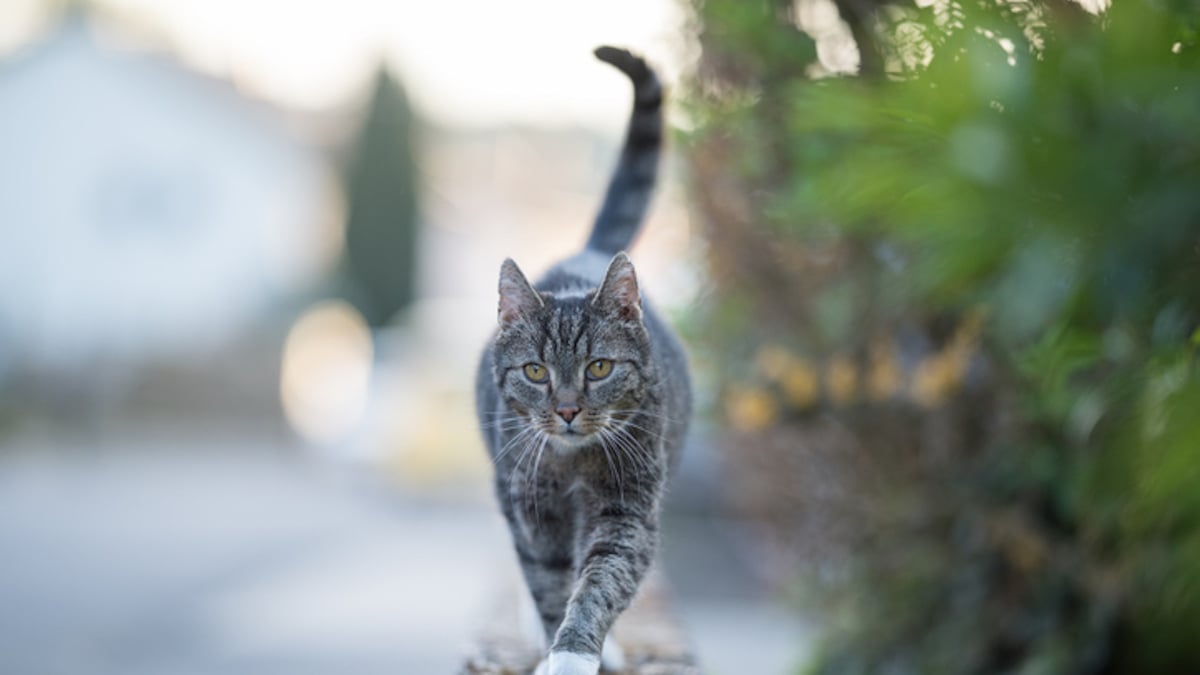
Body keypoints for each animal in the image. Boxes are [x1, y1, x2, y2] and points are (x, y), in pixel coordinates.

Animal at [470, 47, 691, 672]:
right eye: (535, 371)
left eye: (599, 368)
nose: (567, 411)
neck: (572, 466)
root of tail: (586, 254)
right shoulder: (531, 507)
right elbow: (548, 583)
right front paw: (554, 647)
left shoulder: (627, 509)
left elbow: (599, 583)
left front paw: (574, 652)